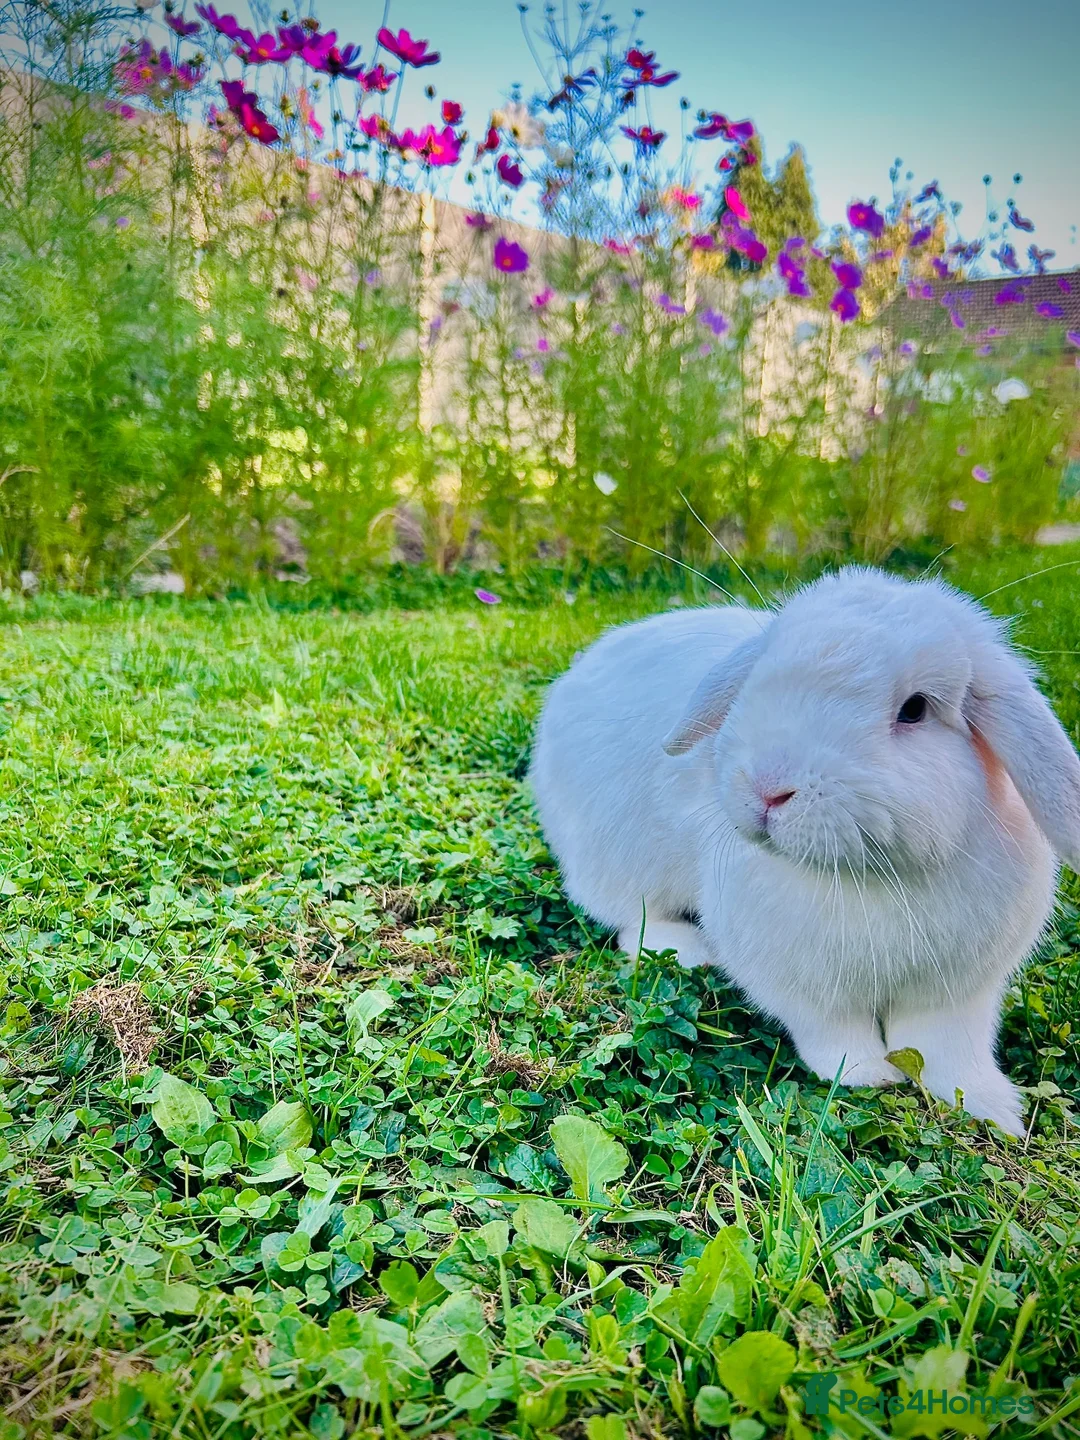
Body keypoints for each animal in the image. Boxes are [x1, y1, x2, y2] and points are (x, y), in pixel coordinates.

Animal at [529, 567, 1080, 1136]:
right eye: (758, 678)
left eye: (915, 709)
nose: (768, 788)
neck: (872, 875)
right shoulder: (807, 989)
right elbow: (835, 1034)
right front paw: (868, 1074)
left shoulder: (957, 993)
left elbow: (946, 1049)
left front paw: (994, 1110)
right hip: (617, 863)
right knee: (630, 920)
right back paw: (688, 948)